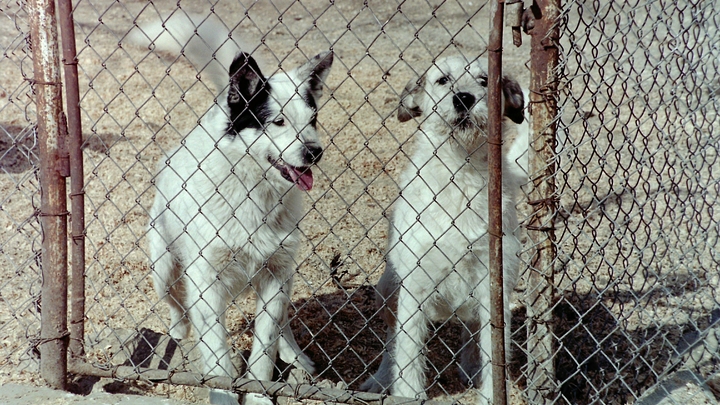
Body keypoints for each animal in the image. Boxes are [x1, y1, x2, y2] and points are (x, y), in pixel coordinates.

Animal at [134, 12, 332, 404]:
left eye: (312, 120)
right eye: (278, 121)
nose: (314, 152)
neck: (252, 192)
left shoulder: (276, 274)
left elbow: (264, 347)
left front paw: (259, 394)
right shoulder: (205, 281)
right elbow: (217, 357)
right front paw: (224, 392)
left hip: (283, 276)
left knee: (282, 324)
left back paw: (293, 353)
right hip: (164, 269)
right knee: (177, 305)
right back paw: (179, 330)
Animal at [362, 55, 524, 402]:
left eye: (484, 80)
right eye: (442, 80)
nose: (463, 98)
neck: (460, 174)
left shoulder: (494, 286)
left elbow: (494, 354)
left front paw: (489, 393)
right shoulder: (414, 291)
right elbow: (407, 359)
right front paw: (406, 394)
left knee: (471, 333)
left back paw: (470, 369)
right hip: (388, 293)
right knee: (391, 342)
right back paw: (381, 380)